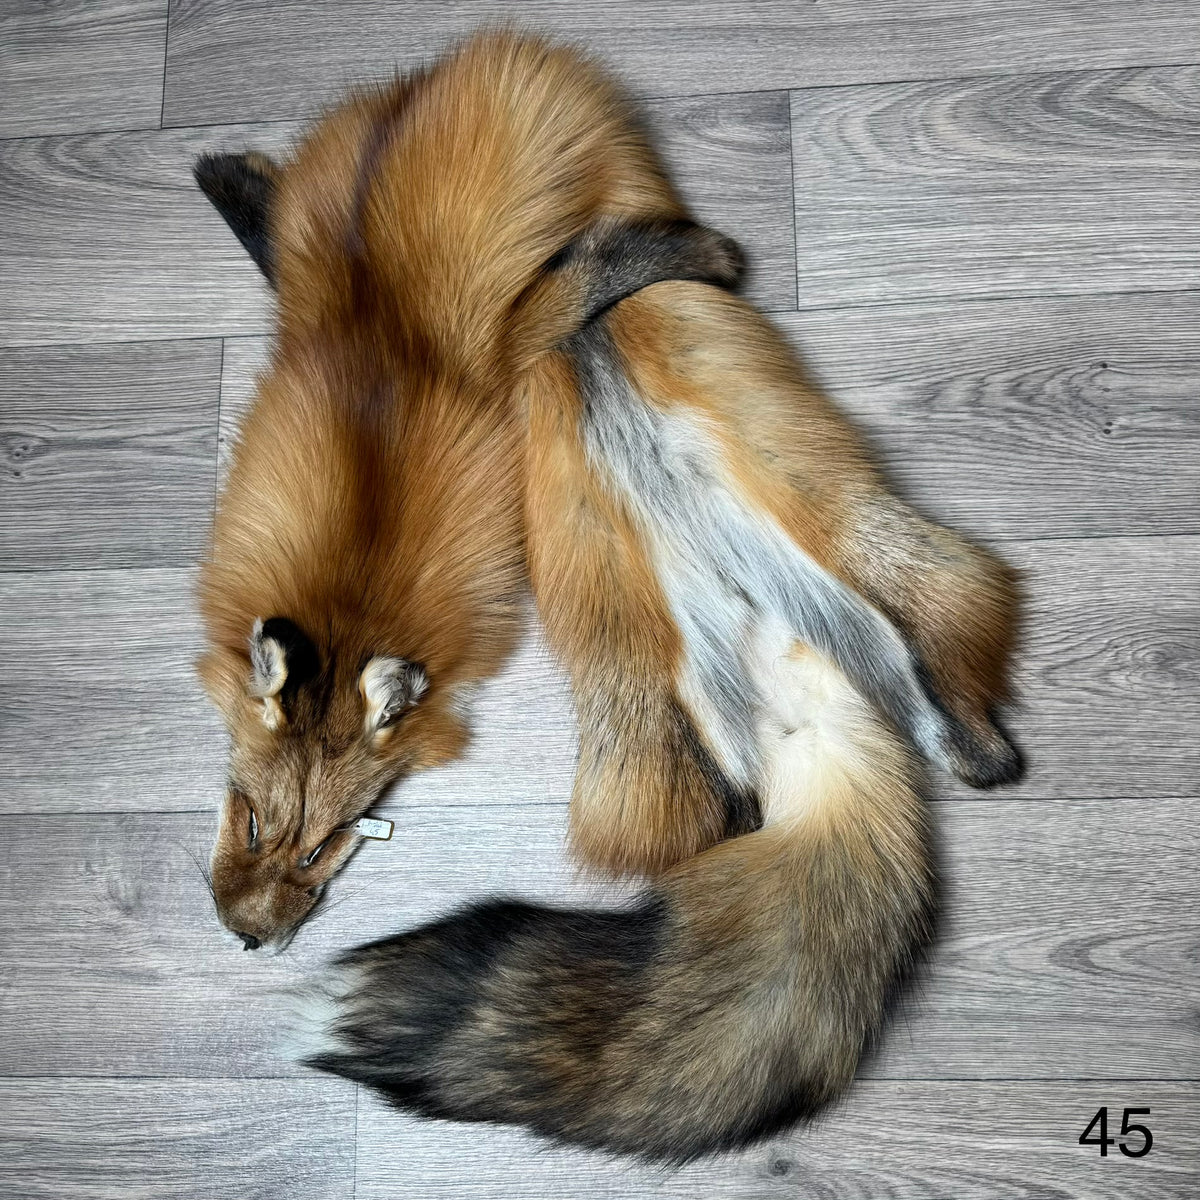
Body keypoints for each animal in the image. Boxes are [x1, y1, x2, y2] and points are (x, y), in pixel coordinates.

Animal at [191, 32, 744, 951]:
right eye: (254, 822)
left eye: (319, 849)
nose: (246, 938)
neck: (348, 610)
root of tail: (436, 73)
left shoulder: (514, 341)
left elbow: (588, 280)